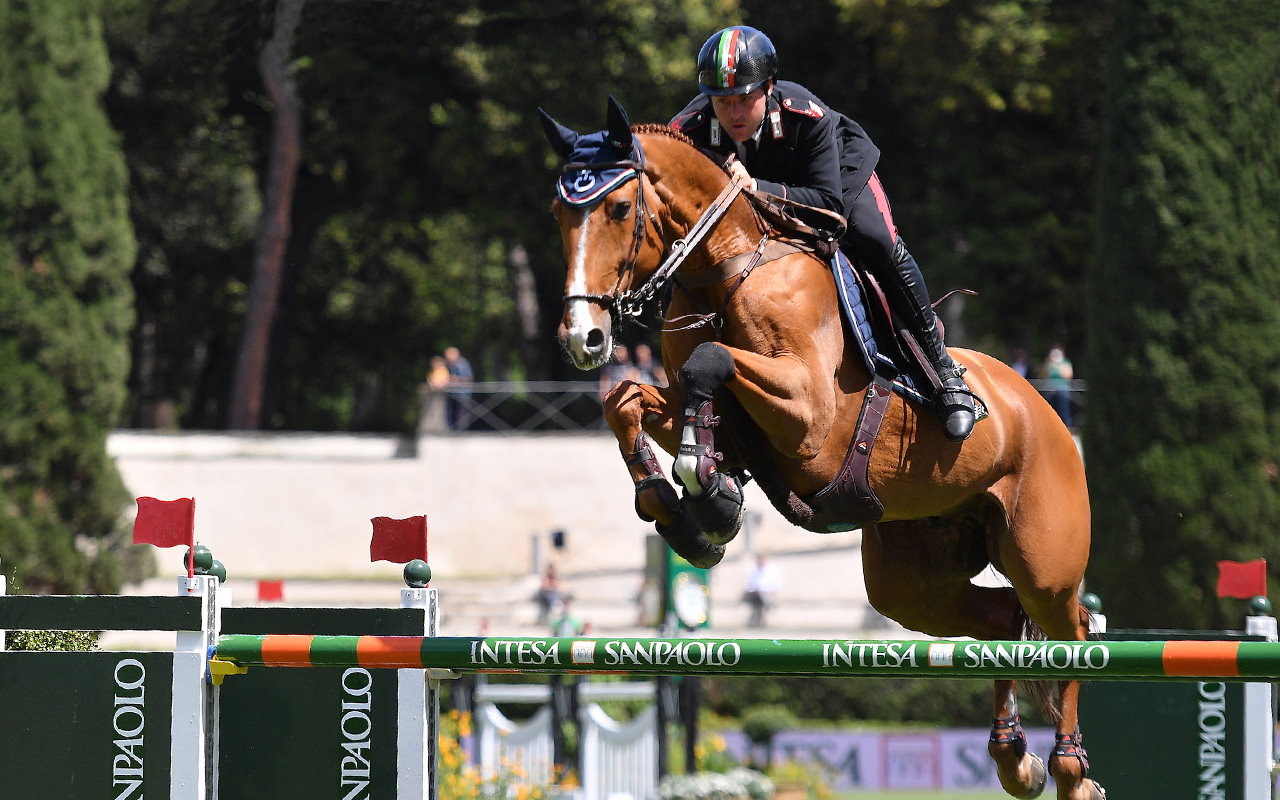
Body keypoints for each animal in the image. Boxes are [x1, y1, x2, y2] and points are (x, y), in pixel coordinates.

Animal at [537, 99, 1100, 798]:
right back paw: (1013, 759)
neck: (726, 269)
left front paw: (707, 490)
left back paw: (1070, 770)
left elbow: (709, 361)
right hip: (912, 580)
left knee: (1072, 630)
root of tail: (1045, 412)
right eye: (558, 214)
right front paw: (685, 506)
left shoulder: (810, 417)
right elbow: (631, 401)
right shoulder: (710, 406)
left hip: (1042, 561)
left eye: (617, 208)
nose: (582, 338)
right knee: (1000, 623)